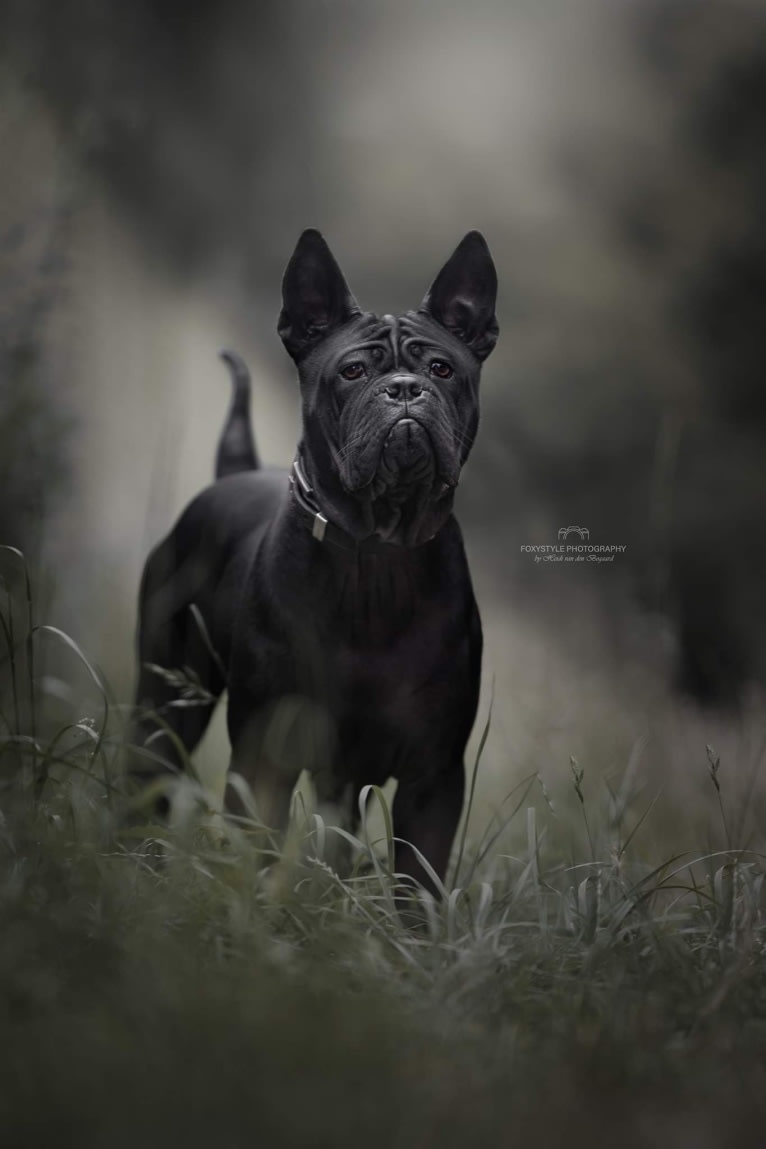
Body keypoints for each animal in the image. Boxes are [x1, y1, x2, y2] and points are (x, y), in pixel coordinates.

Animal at [129, 228, 500, 891]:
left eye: (441, 367)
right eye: (352, 371)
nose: (405, 389)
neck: (376, 553)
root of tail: (234, 472)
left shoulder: (433, 777)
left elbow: (418, 886)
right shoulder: (267, 753)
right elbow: (253, 847)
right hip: (167, 697)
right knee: (148, 773)